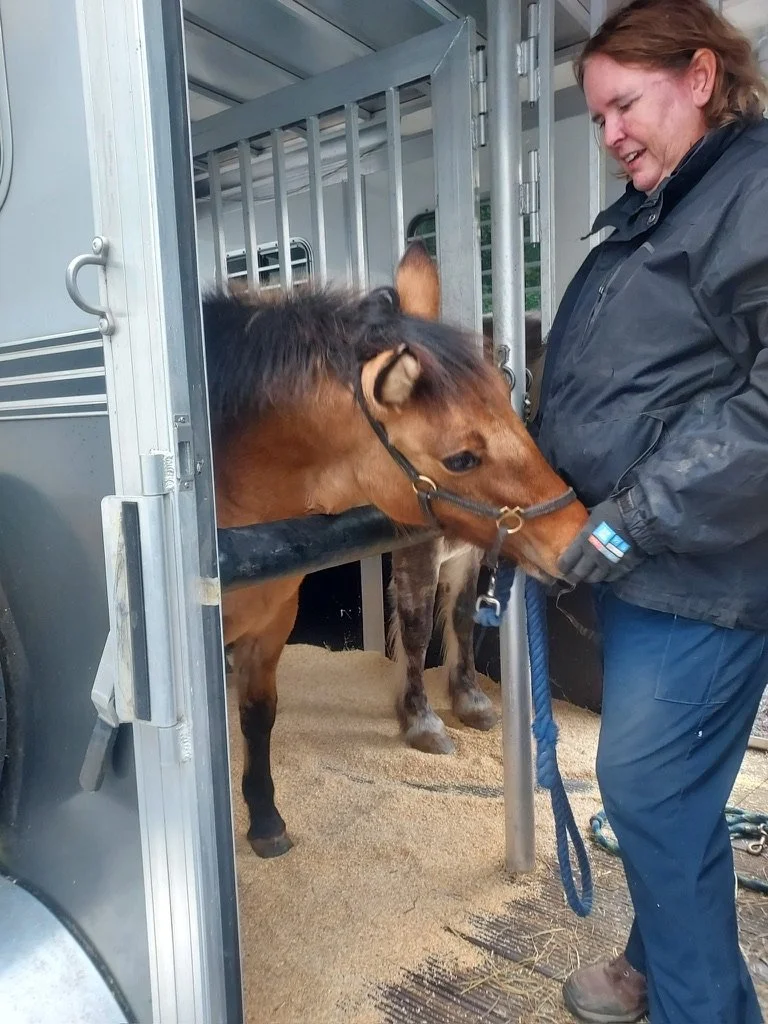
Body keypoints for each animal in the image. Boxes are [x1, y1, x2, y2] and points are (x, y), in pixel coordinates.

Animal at [388, 313, 548, 754]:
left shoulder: (466, 553)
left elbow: (461, 615)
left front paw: (470, 701)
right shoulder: (417, 552)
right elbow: (417, 630)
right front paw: (421, 721)